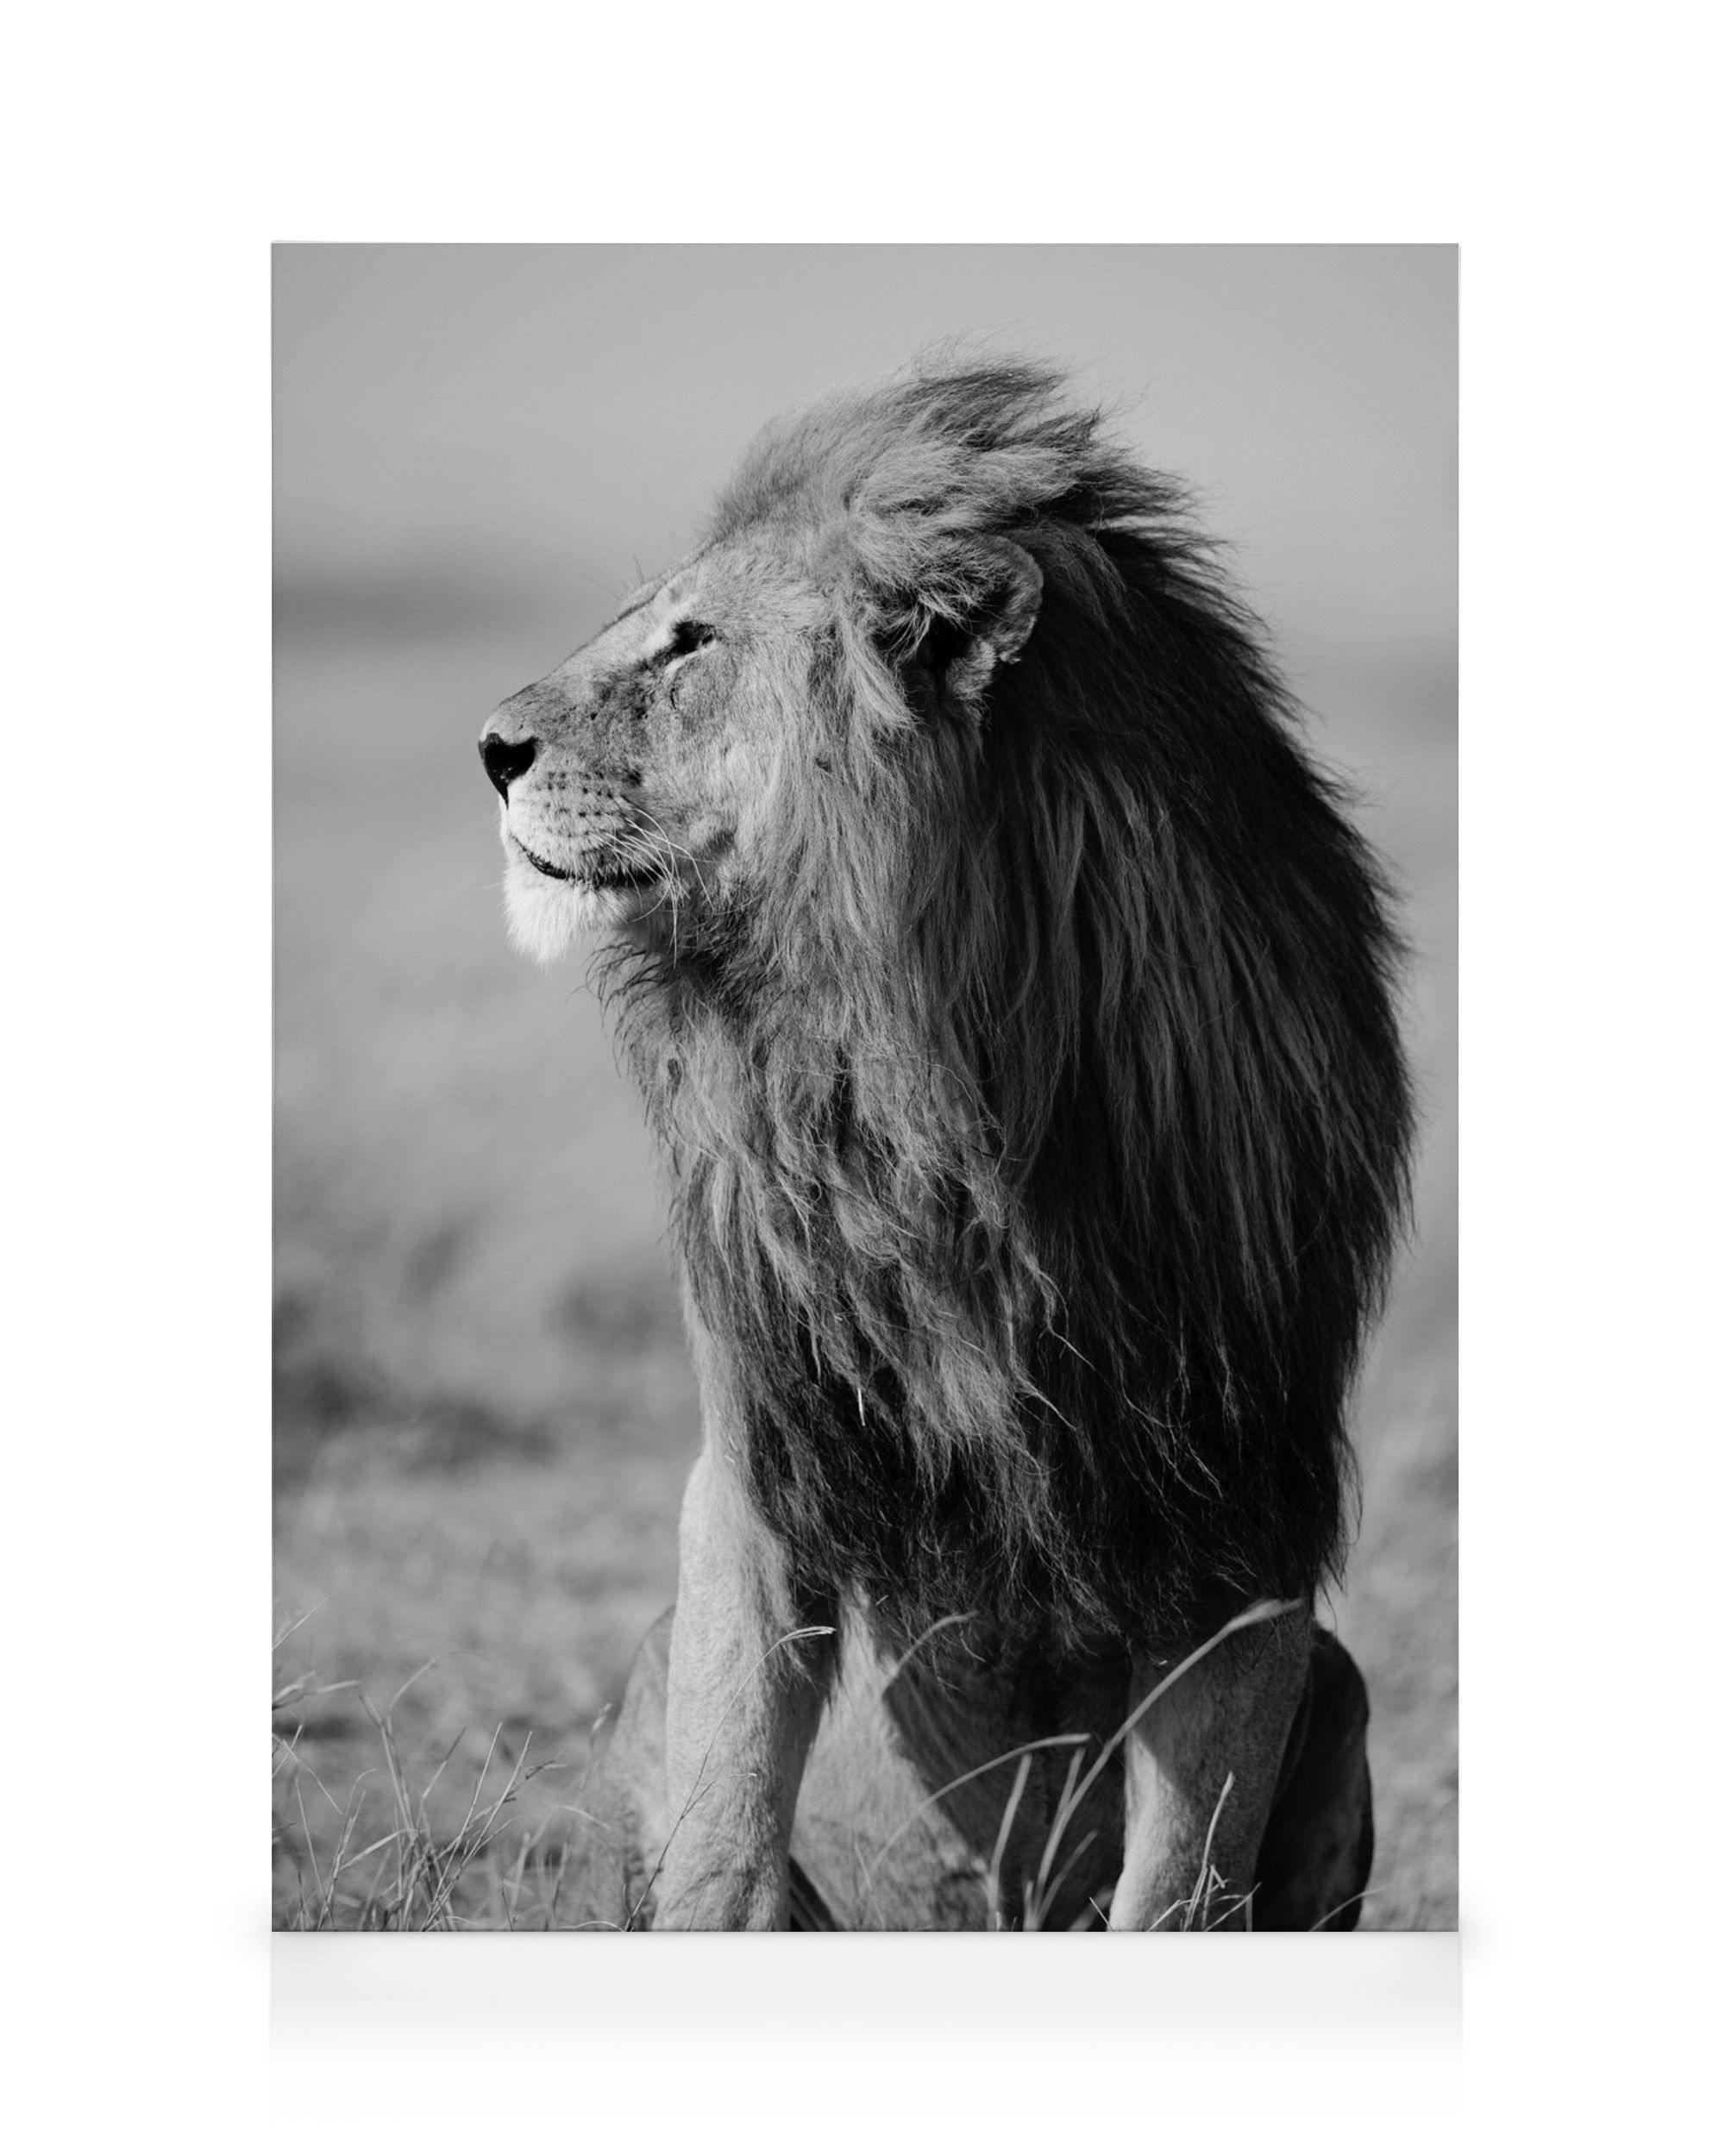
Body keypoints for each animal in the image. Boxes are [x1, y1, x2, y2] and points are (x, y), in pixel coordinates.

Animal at [479, 360, 1411, 1930]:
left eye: (690, 643)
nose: (489, 750)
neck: (928, 1088)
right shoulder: (761, 1458)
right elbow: (725, 1833)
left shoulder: (1248, 1516)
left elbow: (1181, 1883)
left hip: (1339, 1686)